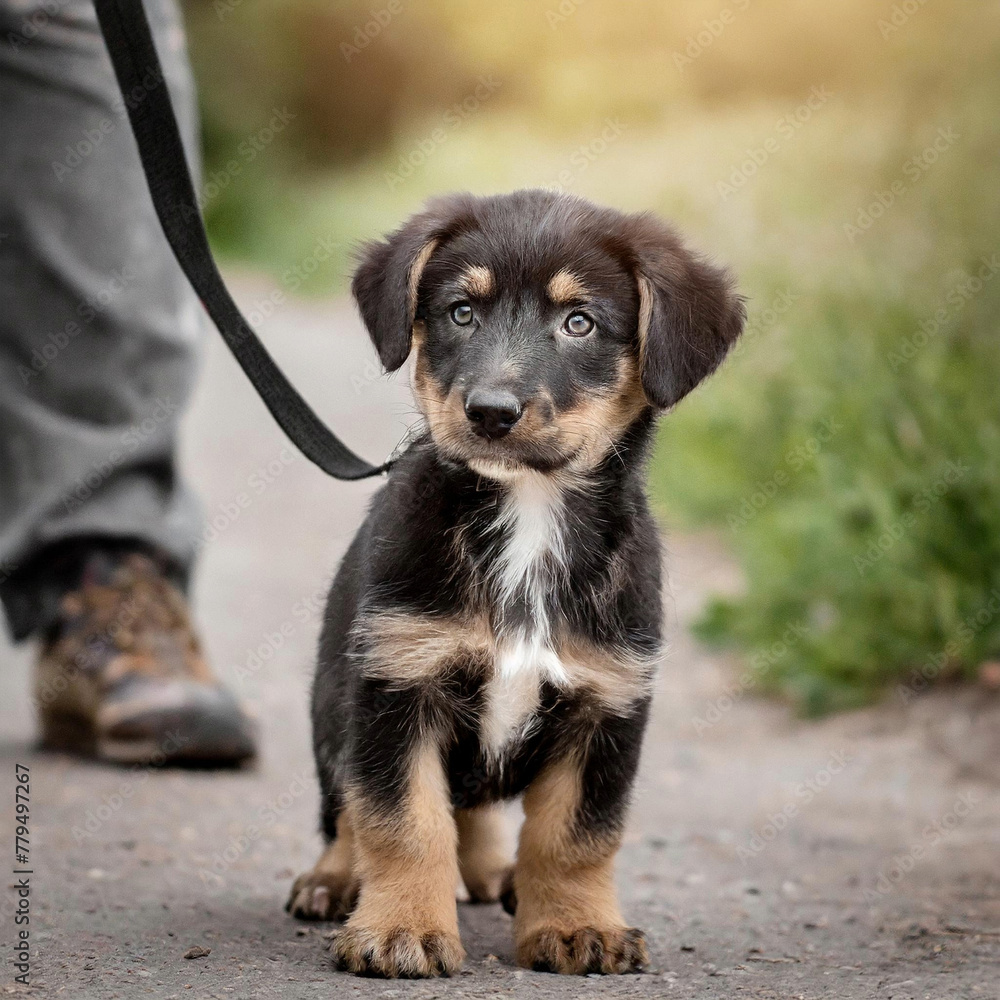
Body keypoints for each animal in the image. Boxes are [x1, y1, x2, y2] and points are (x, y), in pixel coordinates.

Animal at [288, 189, 744, 976]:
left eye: (579, 321)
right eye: (460, 311)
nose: (491, 412)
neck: (529, 515)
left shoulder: (607, 703)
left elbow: (575, 837)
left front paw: (575, 926)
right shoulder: (398, 682)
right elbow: (402, 821)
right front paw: (403, 930)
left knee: (473, 815)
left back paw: (497, 876)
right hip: (333, 708)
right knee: (351, 807)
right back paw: (334, 879)